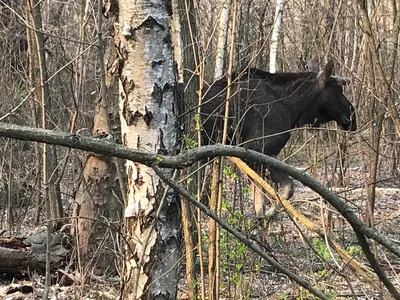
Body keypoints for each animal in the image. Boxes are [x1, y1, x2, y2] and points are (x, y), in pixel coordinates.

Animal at [202, 60, 358, 216]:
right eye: (338, 90)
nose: (353, 117)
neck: (294, 108)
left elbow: (265, 193)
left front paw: (262, 215)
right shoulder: (258, 149)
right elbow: (285, 188)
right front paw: (269, 213)